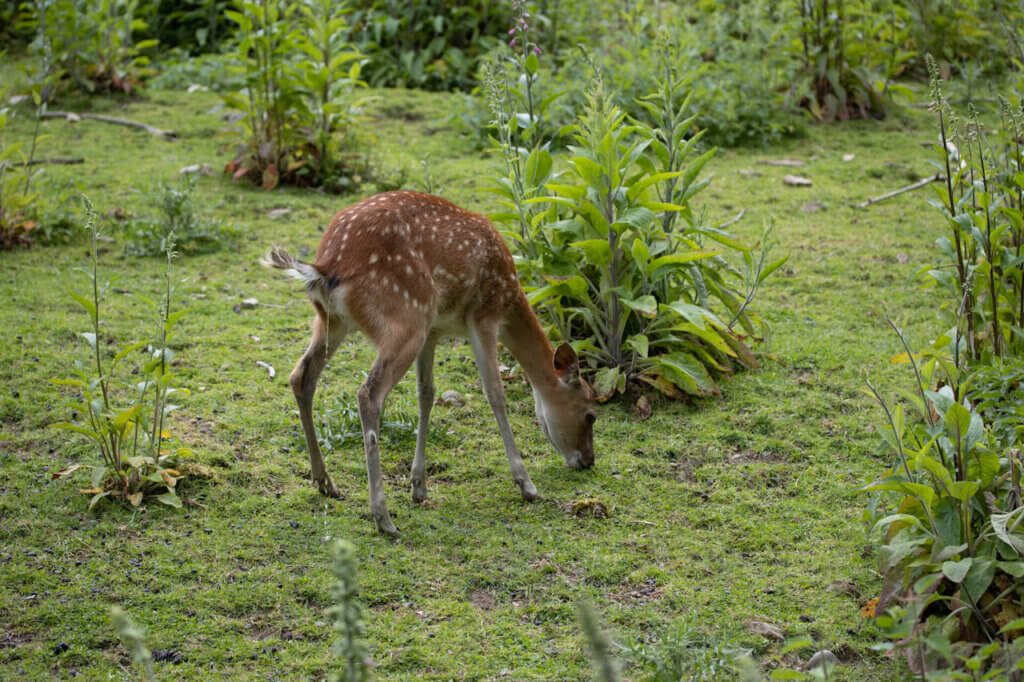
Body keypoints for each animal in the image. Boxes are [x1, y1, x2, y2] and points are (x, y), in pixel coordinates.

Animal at [262, 190, 597, 537]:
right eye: (590, 414)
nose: (588, 460)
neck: (510, 298)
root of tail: (325, 266)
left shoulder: (435, 331)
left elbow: (426, 394)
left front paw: (419, 486)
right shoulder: (483, 316)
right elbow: (494, 393)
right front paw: (526, 484)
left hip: (335, 322)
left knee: (302, 376)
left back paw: (325, 482)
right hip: (407, 317)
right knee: (368, 394)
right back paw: (383, 517)